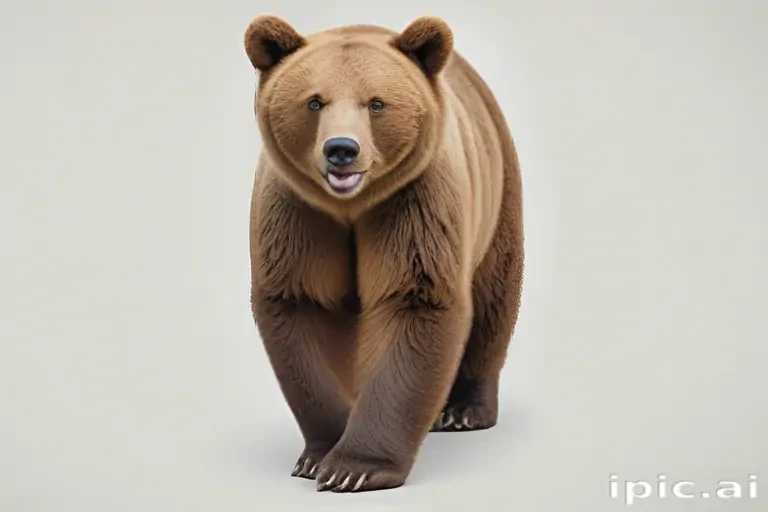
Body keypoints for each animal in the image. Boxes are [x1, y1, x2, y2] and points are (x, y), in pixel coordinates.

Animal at [244, 14, 524, 493]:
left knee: (493, 298)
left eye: (376, 103)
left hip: (496, 189)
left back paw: (464, 409)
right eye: (314, 101)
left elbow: (414, 299)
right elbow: (301, 306)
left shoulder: (413, 200)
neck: (352, 207)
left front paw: (355, 466)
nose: (341, 149)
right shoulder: (298, 213)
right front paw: (319, 455)